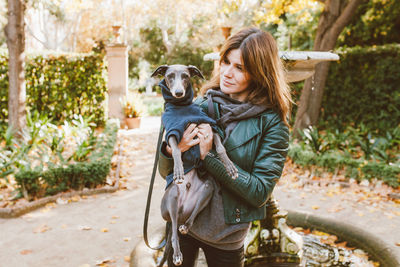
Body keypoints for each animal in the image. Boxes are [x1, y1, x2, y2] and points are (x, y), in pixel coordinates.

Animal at [151, 64, 238, 266]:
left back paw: (186, 226)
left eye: (185, 76)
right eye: (169, 76)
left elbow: (220, 147)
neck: (182, 107)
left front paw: (229, 166)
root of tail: (181, 211)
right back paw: (177, 253)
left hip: (207, 189)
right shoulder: (173, 131)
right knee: (173, 235)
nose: (178, 93)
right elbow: (176, 150)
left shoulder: (209, 126)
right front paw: (178, 170)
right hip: (172, 197)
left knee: (189, 219)